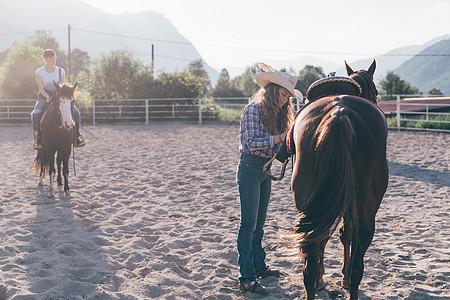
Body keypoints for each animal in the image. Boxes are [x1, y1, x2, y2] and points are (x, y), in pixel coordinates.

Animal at [290, 59, 388, 298]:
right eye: (376, 91)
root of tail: (340, 114)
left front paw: (325, 278)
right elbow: (345, 233)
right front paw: (340, 276)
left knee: (312, 264)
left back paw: (316, 281)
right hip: (363, 207)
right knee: (355, 262)